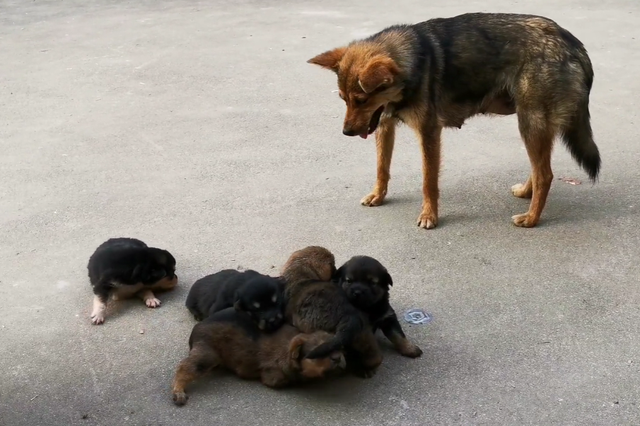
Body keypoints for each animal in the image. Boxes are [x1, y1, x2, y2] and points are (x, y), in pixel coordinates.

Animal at [171, 306, 344, 406]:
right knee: (184, 368)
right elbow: (284, 380)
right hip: (206, 354)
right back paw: (178, 392)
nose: (338, 358)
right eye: (317, 351)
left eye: (336, 345)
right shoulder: (272, 375)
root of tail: (196, 329)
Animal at [282, 246, 382, 380]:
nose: (336, 273)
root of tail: (349, 317)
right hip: (364, 333)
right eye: (332, 264)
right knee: (374, 356)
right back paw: (367, 369)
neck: (300, 275)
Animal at [308, 11, 600, 230]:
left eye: (361, 99)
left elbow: (428, 181)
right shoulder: (384, 125)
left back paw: (531, 218)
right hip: (535, 125)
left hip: (530, 122)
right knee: (540, 168)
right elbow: (382, 168)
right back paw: (527, 193)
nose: (346, 132)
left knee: (545, 174)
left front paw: (429, 215)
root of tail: (573, 43)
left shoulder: (428, 132)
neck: (410, 64)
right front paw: (378, 195)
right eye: (344, 99)